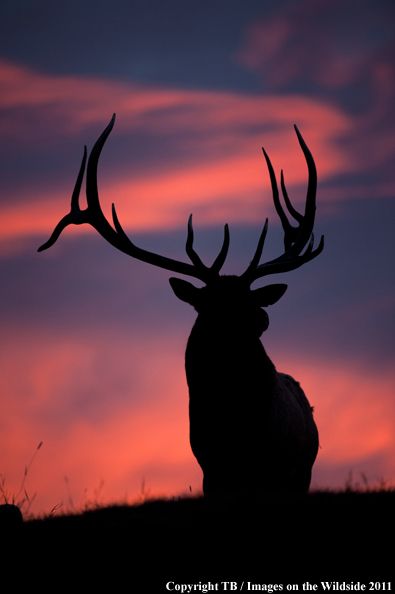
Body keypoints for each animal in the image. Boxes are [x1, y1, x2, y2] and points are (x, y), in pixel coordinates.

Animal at [39, 113, 324, 492]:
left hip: (301, 471)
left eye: (250, 297)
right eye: (213, 302)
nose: (261, 318)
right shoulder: (210, 469)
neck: (237, 424)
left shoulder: (273, 467)